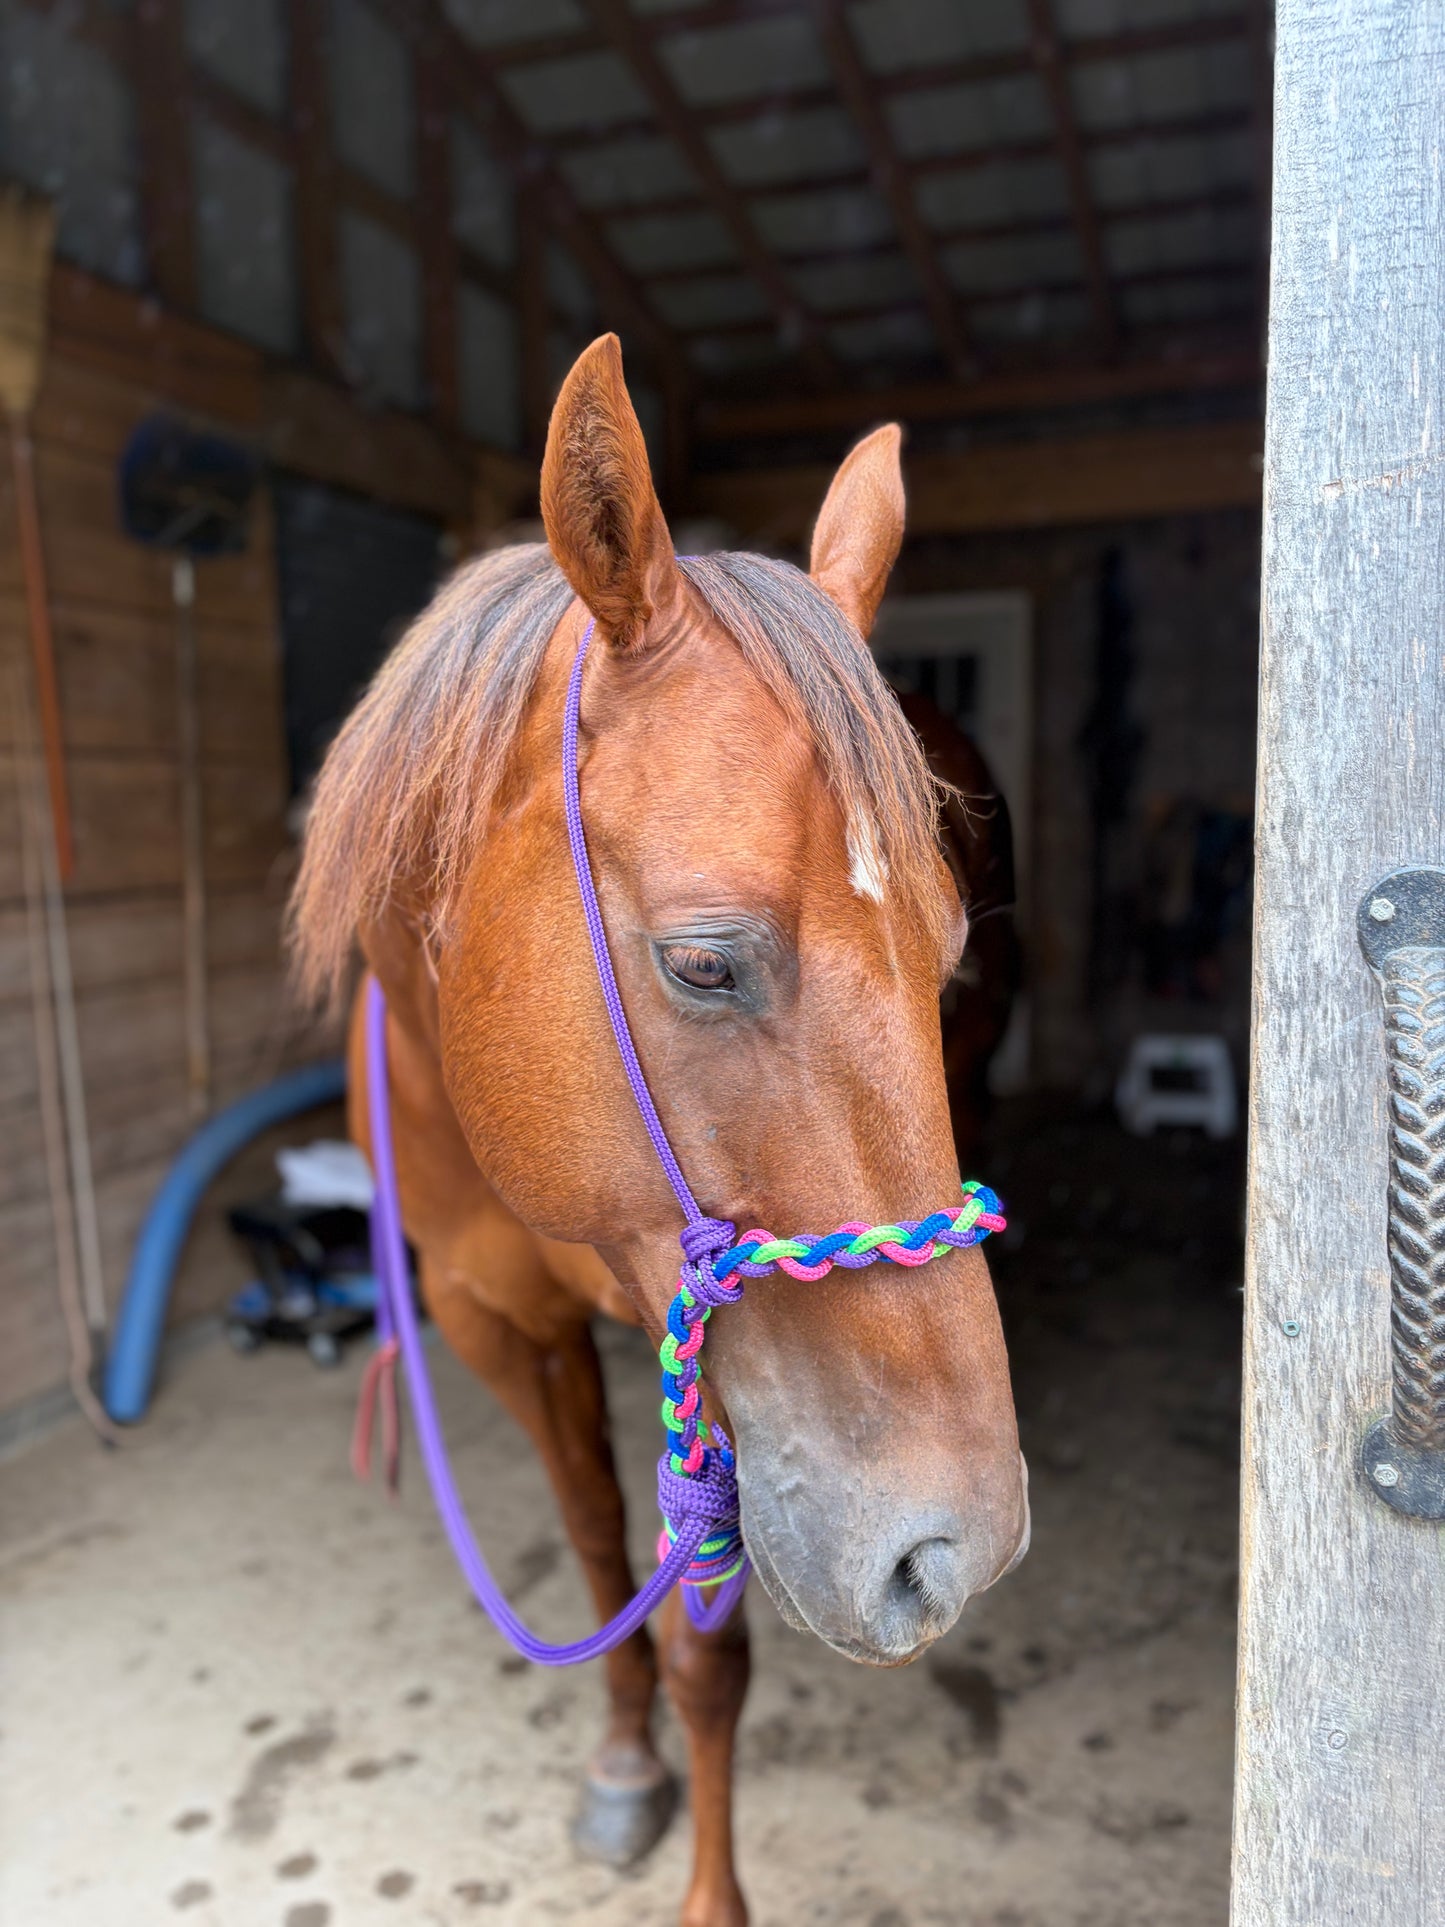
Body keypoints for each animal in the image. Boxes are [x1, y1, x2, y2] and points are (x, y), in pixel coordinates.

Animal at [289, 335, 1028, 1927]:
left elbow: (709, 1644)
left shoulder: (708, 1354)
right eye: (702, 962)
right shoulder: (496, 1317)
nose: (960, 1545)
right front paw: (625, 1757)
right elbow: (590, 1543)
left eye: (942, 960)